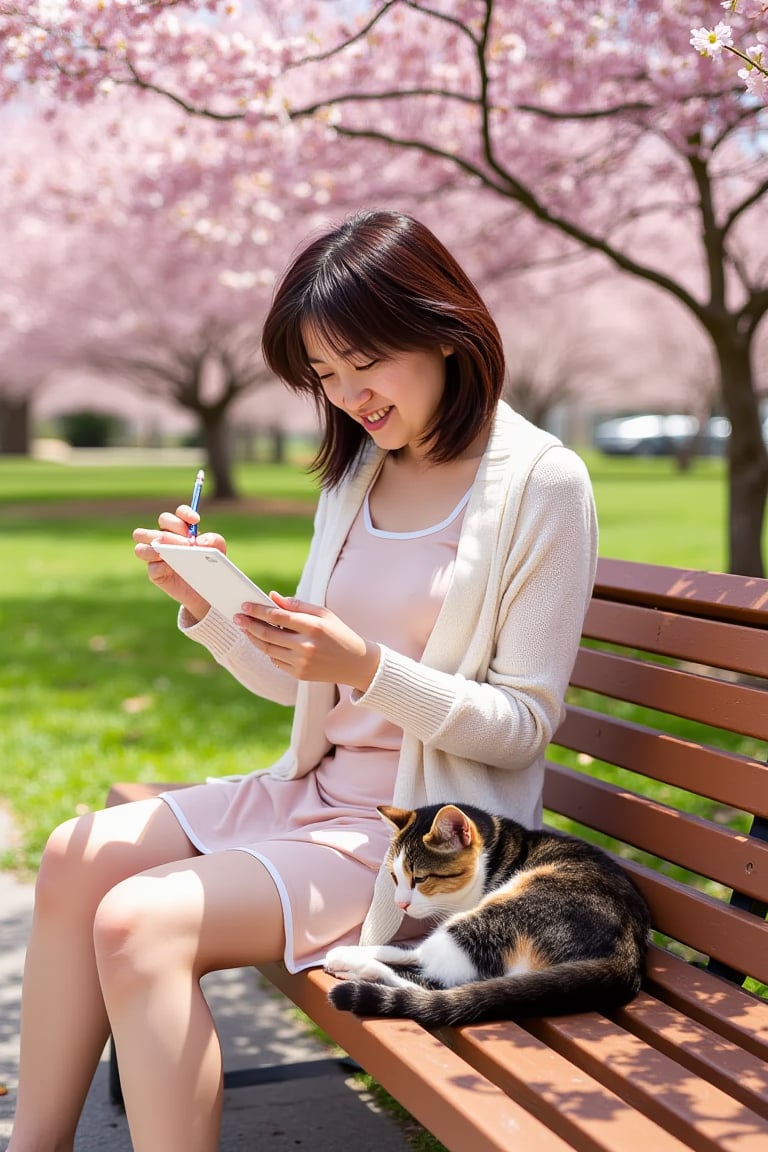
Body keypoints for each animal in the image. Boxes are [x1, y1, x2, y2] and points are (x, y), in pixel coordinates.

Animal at [322, 801, 654, 1027]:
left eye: (420, 878)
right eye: (394, 877)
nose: (401, 904)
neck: (496, 851)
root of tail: (629, 955)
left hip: (502, 912)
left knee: (434, 977)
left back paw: (355, 965)